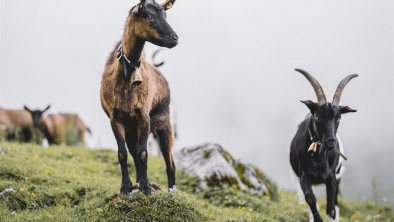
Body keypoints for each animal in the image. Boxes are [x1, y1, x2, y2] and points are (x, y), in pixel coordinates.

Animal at [100, 0, 179, 194]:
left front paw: (146, 187)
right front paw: (126, 186)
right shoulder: (116, 118)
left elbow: (143, 153)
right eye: (149, 16)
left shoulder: (143, 115)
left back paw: (172, 189)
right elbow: (123, 153)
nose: (175, 38)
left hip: (165, 124)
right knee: (134, 153)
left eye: (165, 15)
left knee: (170, 161)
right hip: (132, 130)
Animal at [290, 68, 358, 221]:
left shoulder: (331, 178)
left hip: (338, 178)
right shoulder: (304, 178)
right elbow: (311, 200)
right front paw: (318, 219)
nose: (331, 141)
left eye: (339, 118)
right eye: (317, 116)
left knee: (336, 206)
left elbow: (331, 209)